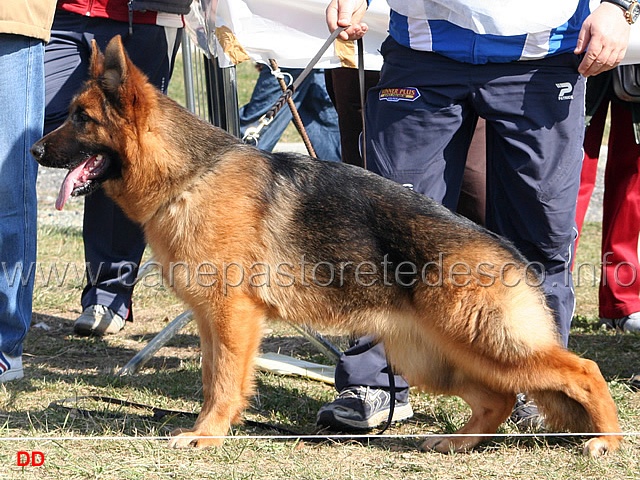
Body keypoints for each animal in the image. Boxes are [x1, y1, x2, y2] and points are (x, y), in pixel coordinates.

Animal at [31, 35, 620, 456]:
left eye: (81, 118)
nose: (34, 150)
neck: (188, 175)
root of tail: (507, 252)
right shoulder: (212, 320)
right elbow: (211, 376)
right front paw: (211, 428)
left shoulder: (232, 315)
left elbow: (222, 381)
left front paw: (208, 435)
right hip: (433, 356)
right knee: (497, 397)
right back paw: (457, 442)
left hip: (486, 342)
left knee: (583, 370)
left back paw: (606, 440)